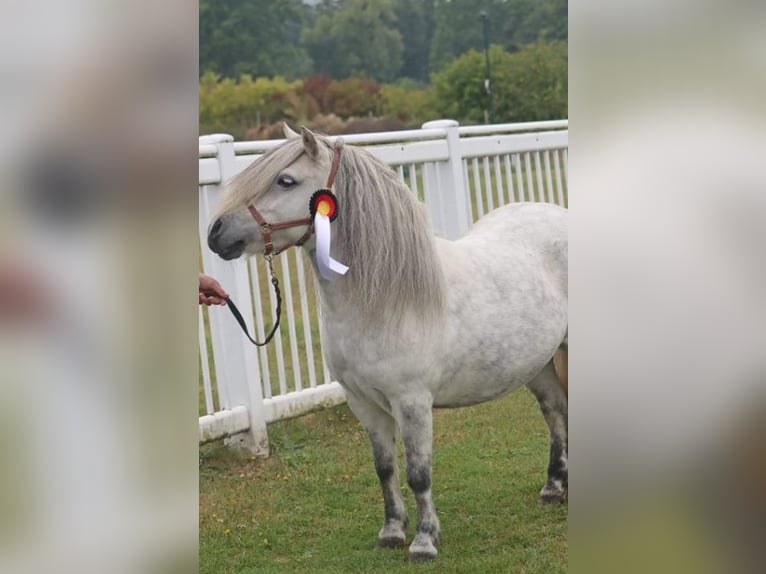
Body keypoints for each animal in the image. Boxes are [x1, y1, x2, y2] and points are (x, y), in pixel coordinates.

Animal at [207, 126, 568, 564]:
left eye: (285, 180)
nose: (216, 233)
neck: (385, 300)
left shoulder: (412, 403)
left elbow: (418, 472)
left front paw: (425, 541)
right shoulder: (363, 402)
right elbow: (385, 468)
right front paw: (392, 532)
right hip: (540, 364)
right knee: (555, 412)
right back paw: (554, 487)